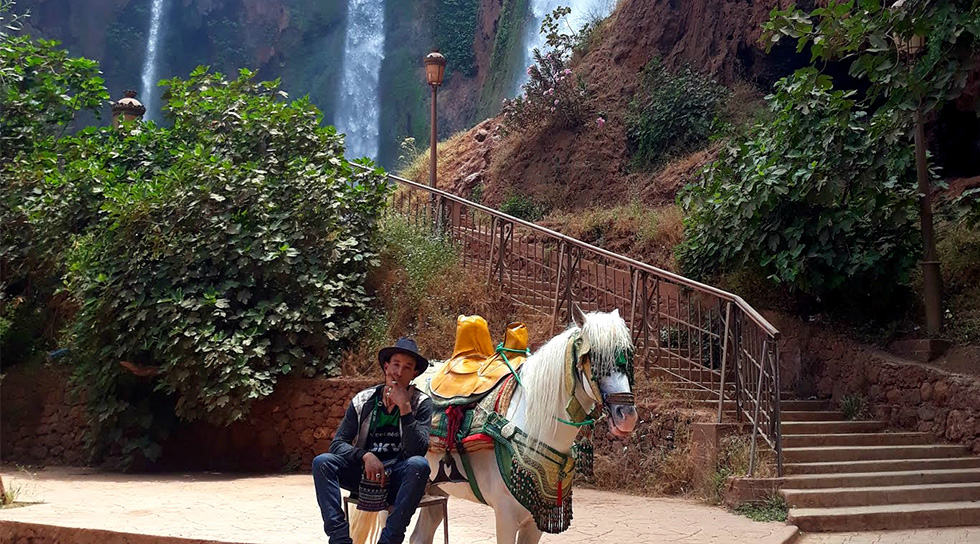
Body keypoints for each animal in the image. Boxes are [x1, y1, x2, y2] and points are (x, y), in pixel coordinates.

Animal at [410, 310, 640, 544]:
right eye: (594, 359)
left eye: (629, 359)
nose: (627, 416)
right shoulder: (505, 514)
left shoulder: (535, 519)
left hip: (437, 487)